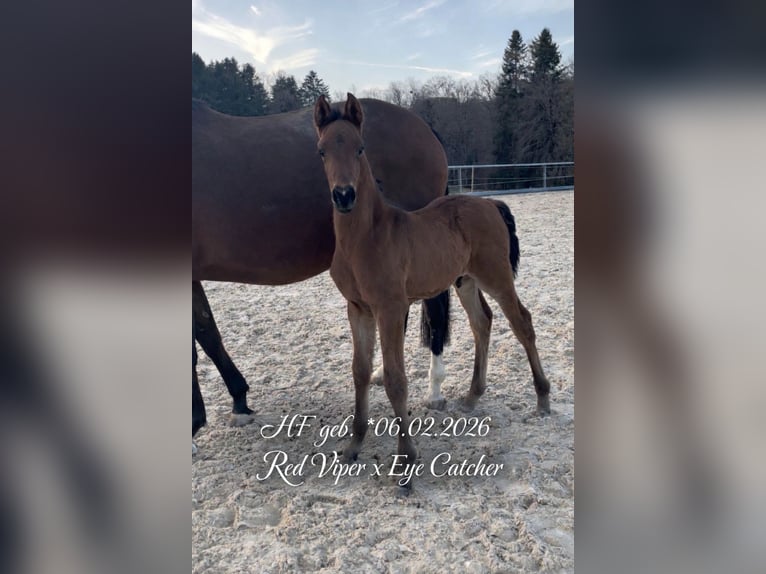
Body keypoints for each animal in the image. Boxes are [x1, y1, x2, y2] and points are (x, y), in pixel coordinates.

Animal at [192, 98, 453, 447]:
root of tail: (423, 126)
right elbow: (207, 334)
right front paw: (238, 402)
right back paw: (381, 372)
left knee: (435, 313)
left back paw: (434, 391)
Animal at [313, 93, 551, 490]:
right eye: (321, 151)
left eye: (361, 148)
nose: (344, 196)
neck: (365, 237)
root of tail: (490, 203)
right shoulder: (357, 308)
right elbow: (360, 371)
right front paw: (352, 446)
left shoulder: (390, 308)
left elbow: (396, 380)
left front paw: (405, 463)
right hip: (465, 280)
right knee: (482, 322)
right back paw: (472, 396)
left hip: (497, 276)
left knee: (522, 322)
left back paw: (543, 399)